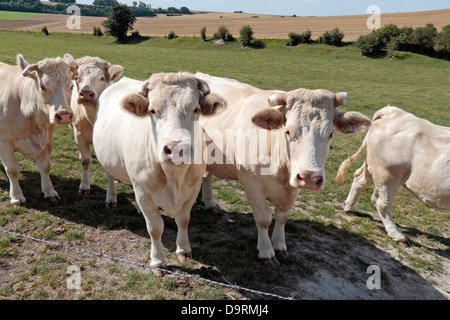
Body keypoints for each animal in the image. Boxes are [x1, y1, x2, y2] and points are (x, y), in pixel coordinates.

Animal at [0, 54, 77, 206]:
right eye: (43, 87)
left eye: (71, 86)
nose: (64, 115)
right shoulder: (4, 141)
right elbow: (12, 169)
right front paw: (17, 197)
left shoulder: (48, 139)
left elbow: (45, 166)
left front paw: (49, 192)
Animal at [70, 56, 123, 195]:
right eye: (77, 77)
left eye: (102, 78)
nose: (86, 93)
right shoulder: (80, 135)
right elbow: (86, 161)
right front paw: (84, 186)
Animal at [92, 72, 227, 276]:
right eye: (153, 110)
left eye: (195, 109)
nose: (176, 149)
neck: (174, 177)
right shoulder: (144, 193)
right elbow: (155, 228)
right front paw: (157, 262)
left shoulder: (192, 190)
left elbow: (183, 220)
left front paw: (183, 250)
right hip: (108, 159)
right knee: (110, 176)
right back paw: (111, 199)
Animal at [195, 72, 370, 264]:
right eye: (287, 131)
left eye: (330, 133)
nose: (310, 178)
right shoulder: (251, 183)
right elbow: (264, 218)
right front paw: (266, 251)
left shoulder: (293, 187)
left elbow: (282, 217)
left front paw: (279, 245)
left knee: (207, 177)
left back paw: (210, 204)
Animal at [336, 106, 448, 246]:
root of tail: (393, 111)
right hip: (388, 174)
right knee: (381, 202)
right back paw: (397, 235)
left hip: (373, 166)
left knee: (359, 178)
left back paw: (348, 207)